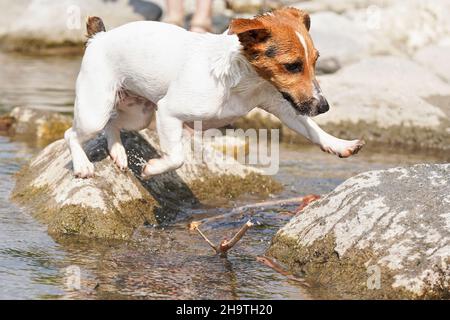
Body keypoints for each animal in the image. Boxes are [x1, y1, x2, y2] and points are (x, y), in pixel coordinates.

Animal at [65, 7, 364, 179]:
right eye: (293, 65)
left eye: (316, 60)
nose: (324, 107)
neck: (241, 80)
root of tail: (100, 37)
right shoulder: (168, 112)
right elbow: (176, 158)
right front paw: (153, 169)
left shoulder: (283, 105)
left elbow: (312, 129)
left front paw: (340, 144)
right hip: (96, 110)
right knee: (73, 133)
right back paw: (82, 165)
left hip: (139, 113)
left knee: (113, 124)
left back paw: (117, 152)